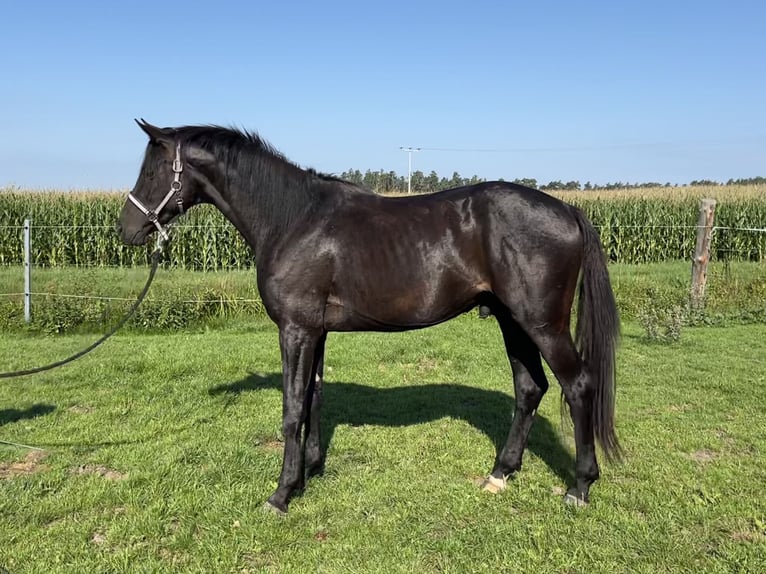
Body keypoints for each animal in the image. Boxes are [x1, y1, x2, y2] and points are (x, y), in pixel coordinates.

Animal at [121, 120, 624, 512]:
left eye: (153, 169)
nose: (126, 228)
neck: (292, 219)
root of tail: (568, 210)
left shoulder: (295, 330)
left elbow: (291, 408)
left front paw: (281, 494)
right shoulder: (316, 331)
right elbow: (313, 399)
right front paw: (309, 471)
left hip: (542, 325)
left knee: (578, 386)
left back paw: (579, 487)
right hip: (512, 322)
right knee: (529, 388)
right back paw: (500, 472)